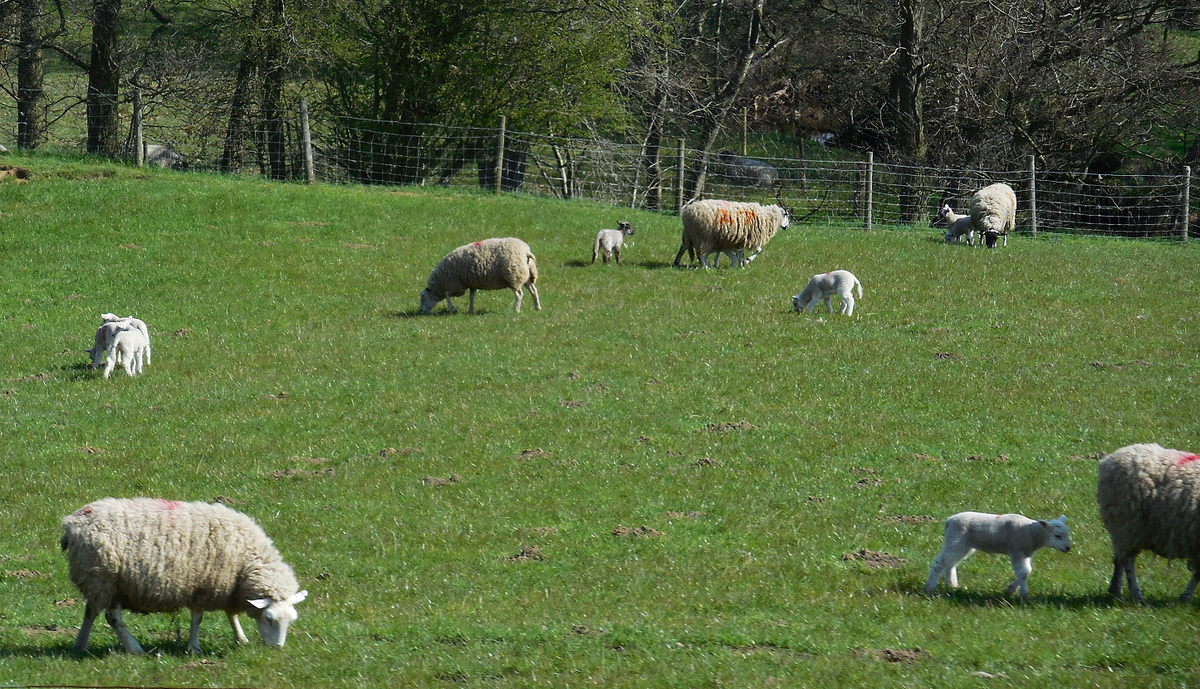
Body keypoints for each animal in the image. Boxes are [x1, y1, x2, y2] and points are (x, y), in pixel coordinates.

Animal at [61, 499, 309, 657]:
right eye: (269, 618)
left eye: (291, 620)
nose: (277, 649)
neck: (245, 560)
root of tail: (72, 523)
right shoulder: (204, 586)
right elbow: (197, 619)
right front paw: (194, 648)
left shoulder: (229, 587)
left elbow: (231, 614)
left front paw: (241, 638)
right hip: (106, 578)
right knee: (113, 618)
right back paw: (135, 649)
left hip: (96, 579)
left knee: (90, 611)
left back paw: (80, 644)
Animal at [921, 511, 1075, 602]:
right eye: (1057, 535)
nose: (1068, 548)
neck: (1032, 533)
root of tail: (949, 520)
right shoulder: (1017, 551)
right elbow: (1023, 572)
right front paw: (1023, 594)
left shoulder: (1025, 554)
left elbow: (1026, 572)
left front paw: (1011, 590)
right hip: (956, 539)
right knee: (941, 562)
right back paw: (929, 588)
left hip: (964, 544)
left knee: (950, 563)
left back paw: (952, 585)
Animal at [1099, 441, 1200, 604]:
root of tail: (1109, 459)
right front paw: (1186, 598)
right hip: (1128, 525)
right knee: (1128, 562)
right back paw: (1137, 596)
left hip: (1122, 528)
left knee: (1119, 558)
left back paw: (1116, 591)